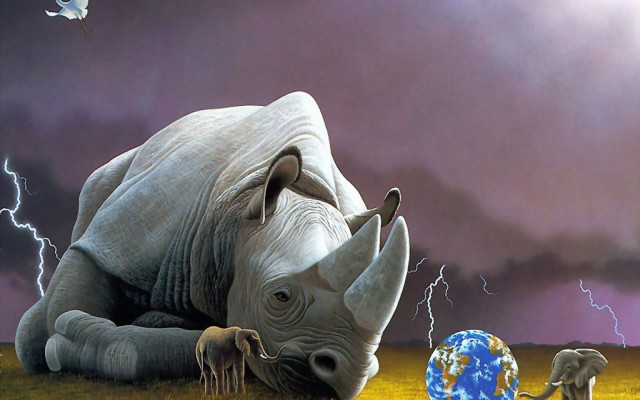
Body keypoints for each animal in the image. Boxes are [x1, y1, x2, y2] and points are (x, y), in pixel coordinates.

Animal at [15, 92, 409, 399]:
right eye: (280, 297)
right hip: (110, 177)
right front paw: (59, 343)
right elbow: (62, 318)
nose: (344, 376)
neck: (239, 215)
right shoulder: (120, 234)